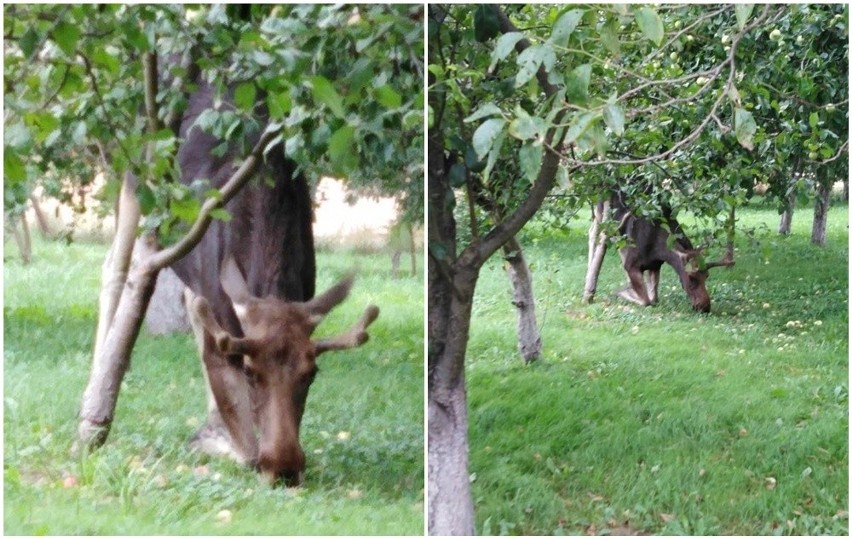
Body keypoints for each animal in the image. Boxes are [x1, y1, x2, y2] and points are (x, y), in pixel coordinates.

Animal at [584, 192, 732, 314]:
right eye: (691, 278)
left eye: (707, 276)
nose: (704, 307)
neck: (659, 249)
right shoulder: (632, 265)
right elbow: (646, 301)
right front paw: (621, 292)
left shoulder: (654, 265)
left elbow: (653, 299)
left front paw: (629, 288)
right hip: (602, 211)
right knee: (594, 234)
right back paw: (589, 287)